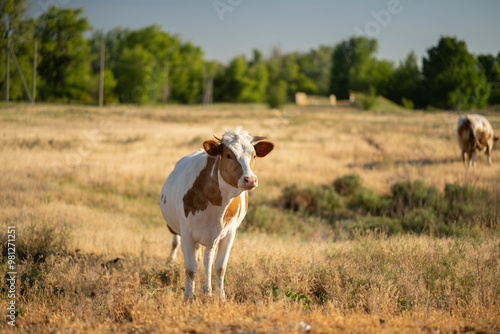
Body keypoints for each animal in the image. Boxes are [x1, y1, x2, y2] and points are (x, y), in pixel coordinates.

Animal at [160, 129, 274, 300]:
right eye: (228, 155)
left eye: (254, 155)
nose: (250, 180)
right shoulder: (187, 233)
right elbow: (190, 269)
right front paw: (188, 298)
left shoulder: (229, 233)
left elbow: (220, 266)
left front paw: (220, 296)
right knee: (179, 245)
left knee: (208, 259)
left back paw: (207, 290)